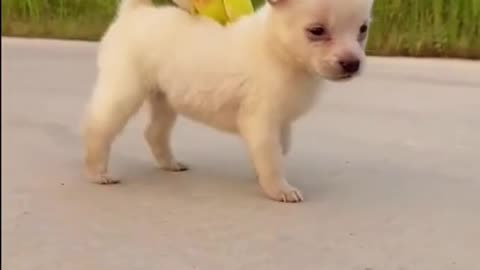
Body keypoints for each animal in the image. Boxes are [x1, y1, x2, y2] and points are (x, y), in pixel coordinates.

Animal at [83, 0, 376, 202]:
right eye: (316, 30)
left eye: (363, 29)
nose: (352, 63)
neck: (277, 49)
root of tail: (134, 13)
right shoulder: (261, 122)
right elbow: (272, 158)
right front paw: (279, 189)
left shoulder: (280, 122)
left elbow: (280, 149)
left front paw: (262, 174)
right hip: (124, 90)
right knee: (98, 128)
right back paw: (97, 173)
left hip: (165, 98)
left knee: (154, 132)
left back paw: (170, 164)